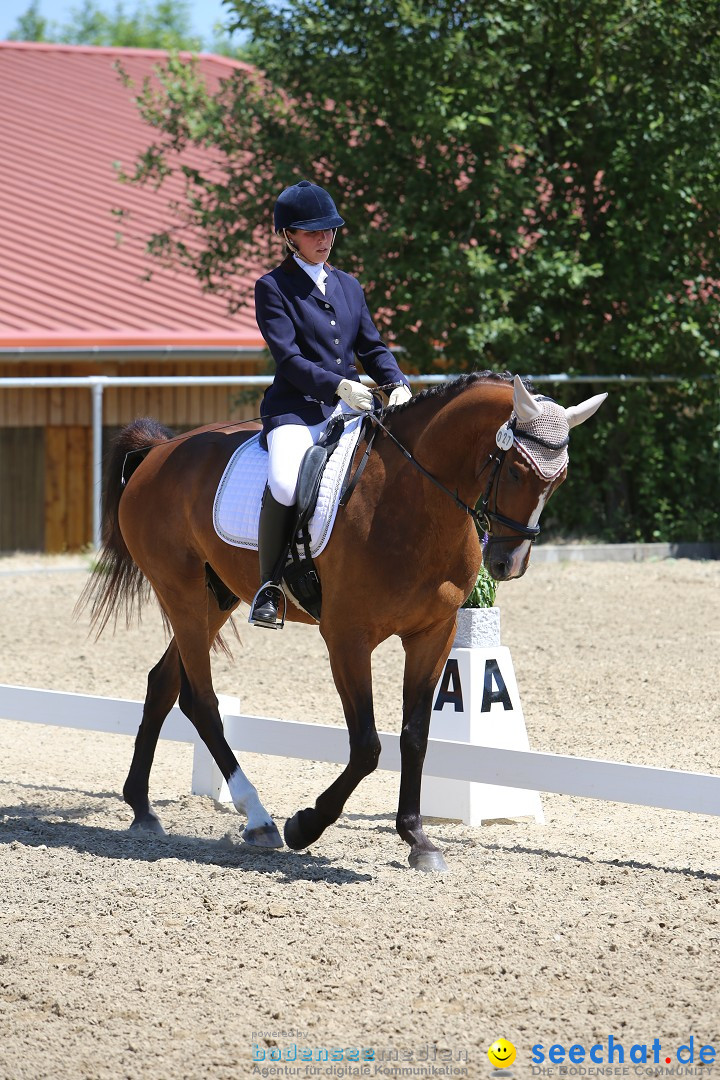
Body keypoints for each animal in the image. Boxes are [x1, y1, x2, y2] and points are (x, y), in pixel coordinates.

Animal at [81, 371, 604, 868]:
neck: (412, 498)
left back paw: (142, 808)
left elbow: (415, 736)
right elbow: (368, 745)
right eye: (516, 471)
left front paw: (418, 839)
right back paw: (259, 818)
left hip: (216, 598)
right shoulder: (348, 639)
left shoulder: (433, 635)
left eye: (559, 479)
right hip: (183, 594)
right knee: (202, 701)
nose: (508, 564)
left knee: (164, 684)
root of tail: (159, 451)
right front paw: (305, 825)